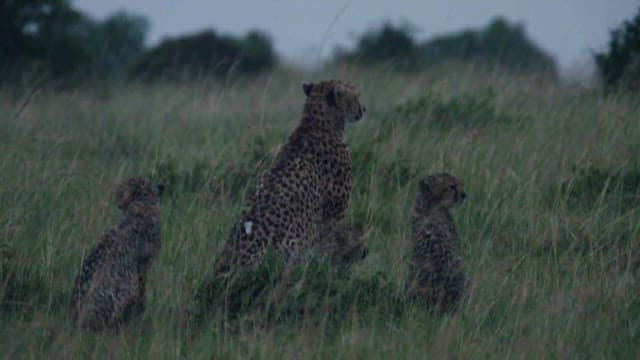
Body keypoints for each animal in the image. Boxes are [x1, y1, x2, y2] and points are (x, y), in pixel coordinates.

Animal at [69, 176, 164, 330]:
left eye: (119, 192)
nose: (117, 201)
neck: (142, 205)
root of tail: (78, 319)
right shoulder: (142, 268)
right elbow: (142, 293)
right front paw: (141, 314)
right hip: (127, 289)